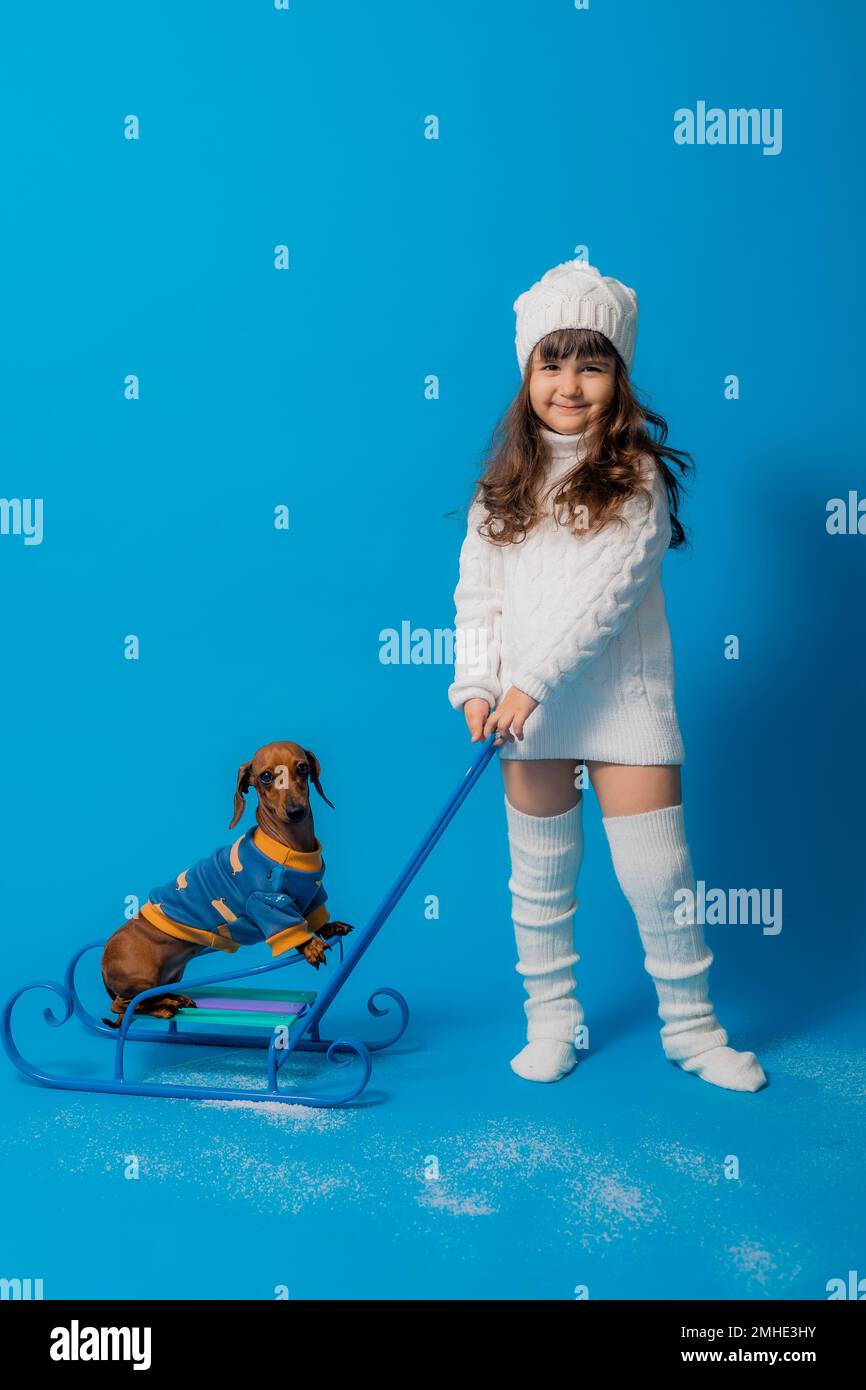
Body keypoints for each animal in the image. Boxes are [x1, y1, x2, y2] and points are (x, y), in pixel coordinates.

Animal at [103, 745, 354, 1028]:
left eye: (302, 768)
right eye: (265, 776)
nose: (295, 811)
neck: (291, 846)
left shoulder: (313, 892)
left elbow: (315, 915)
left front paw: (329, 927)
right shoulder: (266, 902)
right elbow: (290, 926)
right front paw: (310, 945)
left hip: (166, 978)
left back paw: (175, 998)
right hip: (141, 979)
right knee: (123, 1006)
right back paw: (165, 1007)